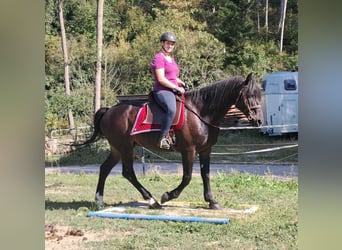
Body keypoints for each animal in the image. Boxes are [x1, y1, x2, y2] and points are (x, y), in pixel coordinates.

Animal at [77, 72, 264, 209]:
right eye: (249, 94)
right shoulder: (189, 150)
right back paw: (152, 201)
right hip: (125, 148)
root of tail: (109, 111)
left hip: (117, 149)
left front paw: (211, 201)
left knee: (105, 169)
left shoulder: (205, 149)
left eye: (259, 95)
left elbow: (205, 174)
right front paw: (167, 196)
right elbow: (187, 177)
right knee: (128, 172)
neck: (200, 112)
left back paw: (99, 200)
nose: (259, 120)